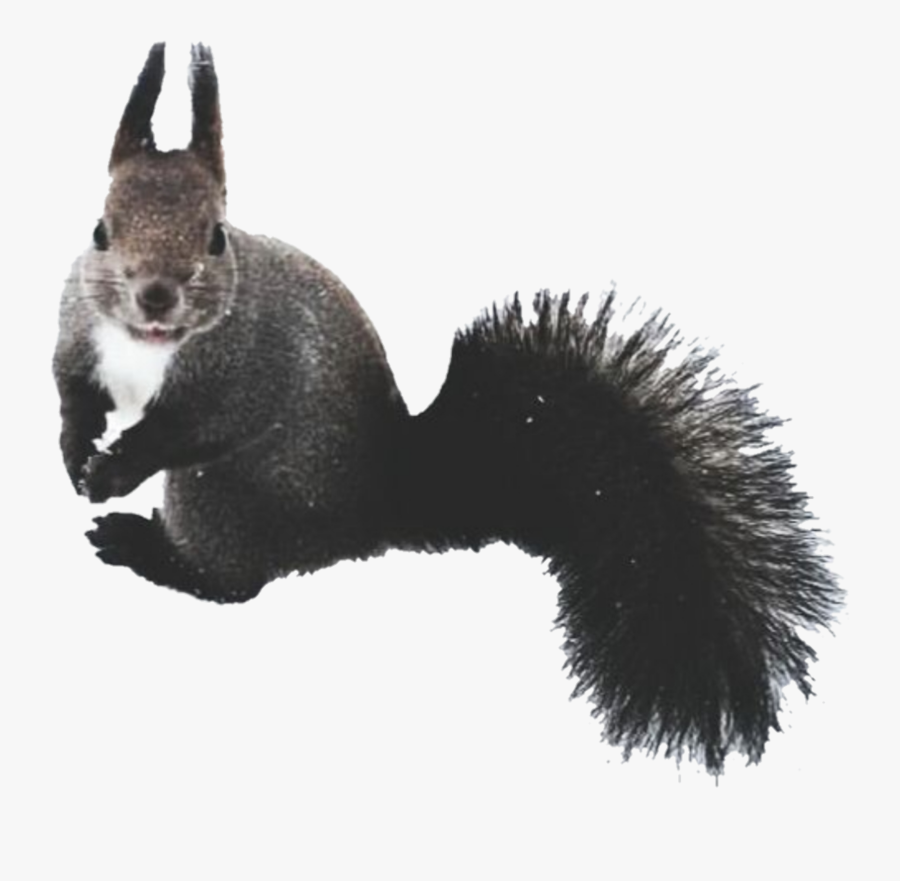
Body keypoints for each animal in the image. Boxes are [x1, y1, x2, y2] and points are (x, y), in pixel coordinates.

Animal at [53, 43, 841, 774]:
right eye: (99, 229)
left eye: (217, 236)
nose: (157, 295)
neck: (147, 345)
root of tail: (382, 502)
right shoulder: (77, 334)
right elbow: (71, 392)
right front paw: (75, 450)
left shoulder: (240, 367)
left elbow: (195, 427)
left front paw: (115, 469)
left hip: (217, 496)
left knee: (233, 583)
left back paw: (144, 545)